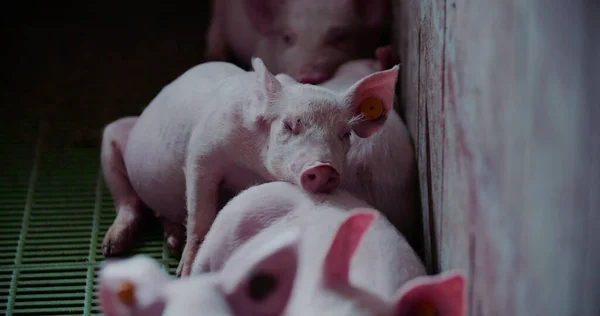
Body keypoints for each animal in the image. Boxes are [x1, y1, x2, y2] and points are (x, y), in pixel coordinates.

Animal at [101, 58, 400, 276]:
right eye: (290, 125)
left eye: (345, 134)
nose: (324, 167)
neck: (250, 166)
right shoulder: (201, 153)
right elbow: (201, 215)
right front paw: (185, 274)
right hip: (112, 138)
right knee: (128, 199)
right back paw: (111, 248)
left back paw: (171, 240)